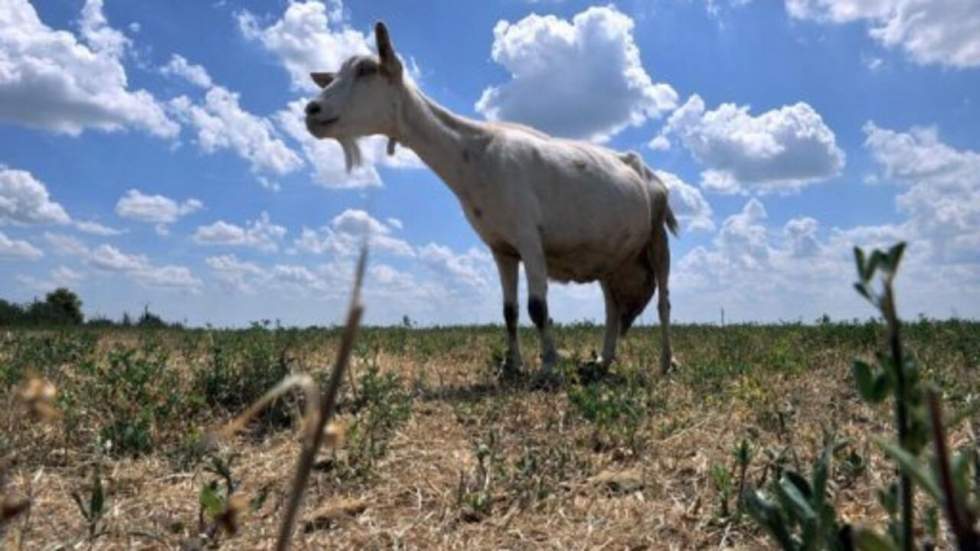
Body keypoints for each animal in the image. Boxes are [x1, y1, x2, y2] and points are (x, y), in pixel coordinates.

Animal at [302, 21, 676, 376]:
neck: (475, 154)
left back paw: (665, 362)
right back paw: (602, 361)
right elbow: (509, 311)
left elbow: (538, 307)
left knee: (663, 303)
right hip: (612, 256)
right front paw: (511, 366)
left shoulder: (529, 237)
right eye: (333, 76)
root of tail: (649, 175)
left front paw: (549, 366)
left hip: (657, 238)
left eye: (366, 70)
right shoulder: (501, 248)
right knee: (613, 306)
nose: (312, 109)